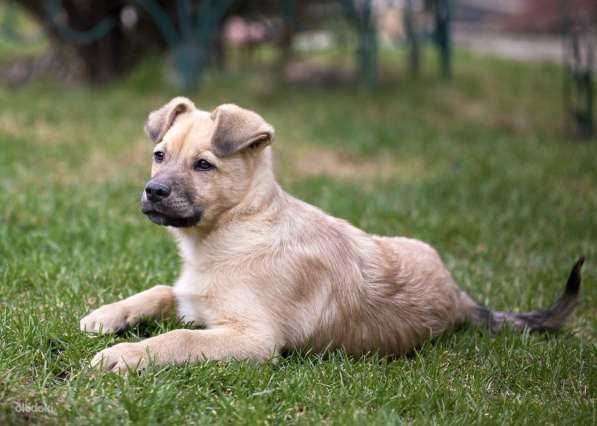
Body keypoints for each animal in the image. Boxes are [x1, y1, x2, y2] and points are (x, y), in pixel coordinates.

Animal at [79, 96, 584, 372]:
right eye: (159, 155)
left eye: (204, 165)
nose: (153, 192)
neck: (234, 227)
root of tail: (459, 296)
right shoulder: (191, 297)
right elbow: (160, 290)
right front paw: (105, 316)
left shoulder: (252, 338)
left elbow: (178, 338)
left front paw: (123, 355)